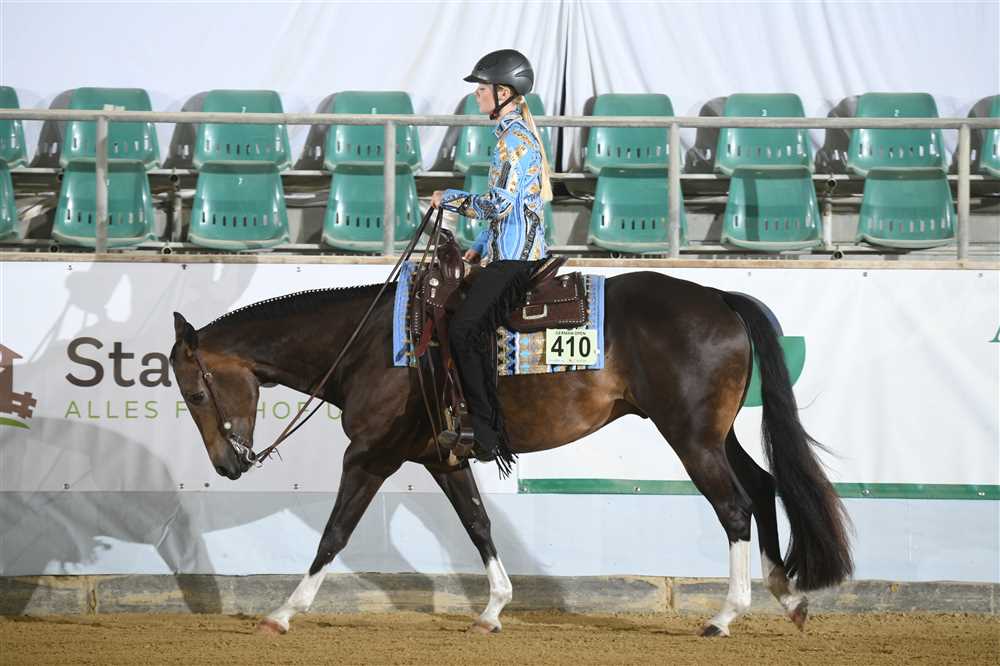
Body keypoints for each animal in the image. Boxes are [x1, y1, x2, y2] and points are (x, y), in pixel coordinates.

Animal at [169, 269, 852, 637]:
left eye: (196, 390)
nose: (228, 465)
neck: (369, 345)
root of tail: (717, 296)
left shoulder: (369, 456)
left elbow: (334, 534)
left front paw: (283, 613)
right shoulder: (441, 457)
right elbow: (478, 524)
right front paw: (493, 610)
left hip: (689, 436)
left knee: (735, 508)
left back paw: (724, 617)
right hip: (714, 433)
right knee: (762, 486)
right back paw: (789, 598)